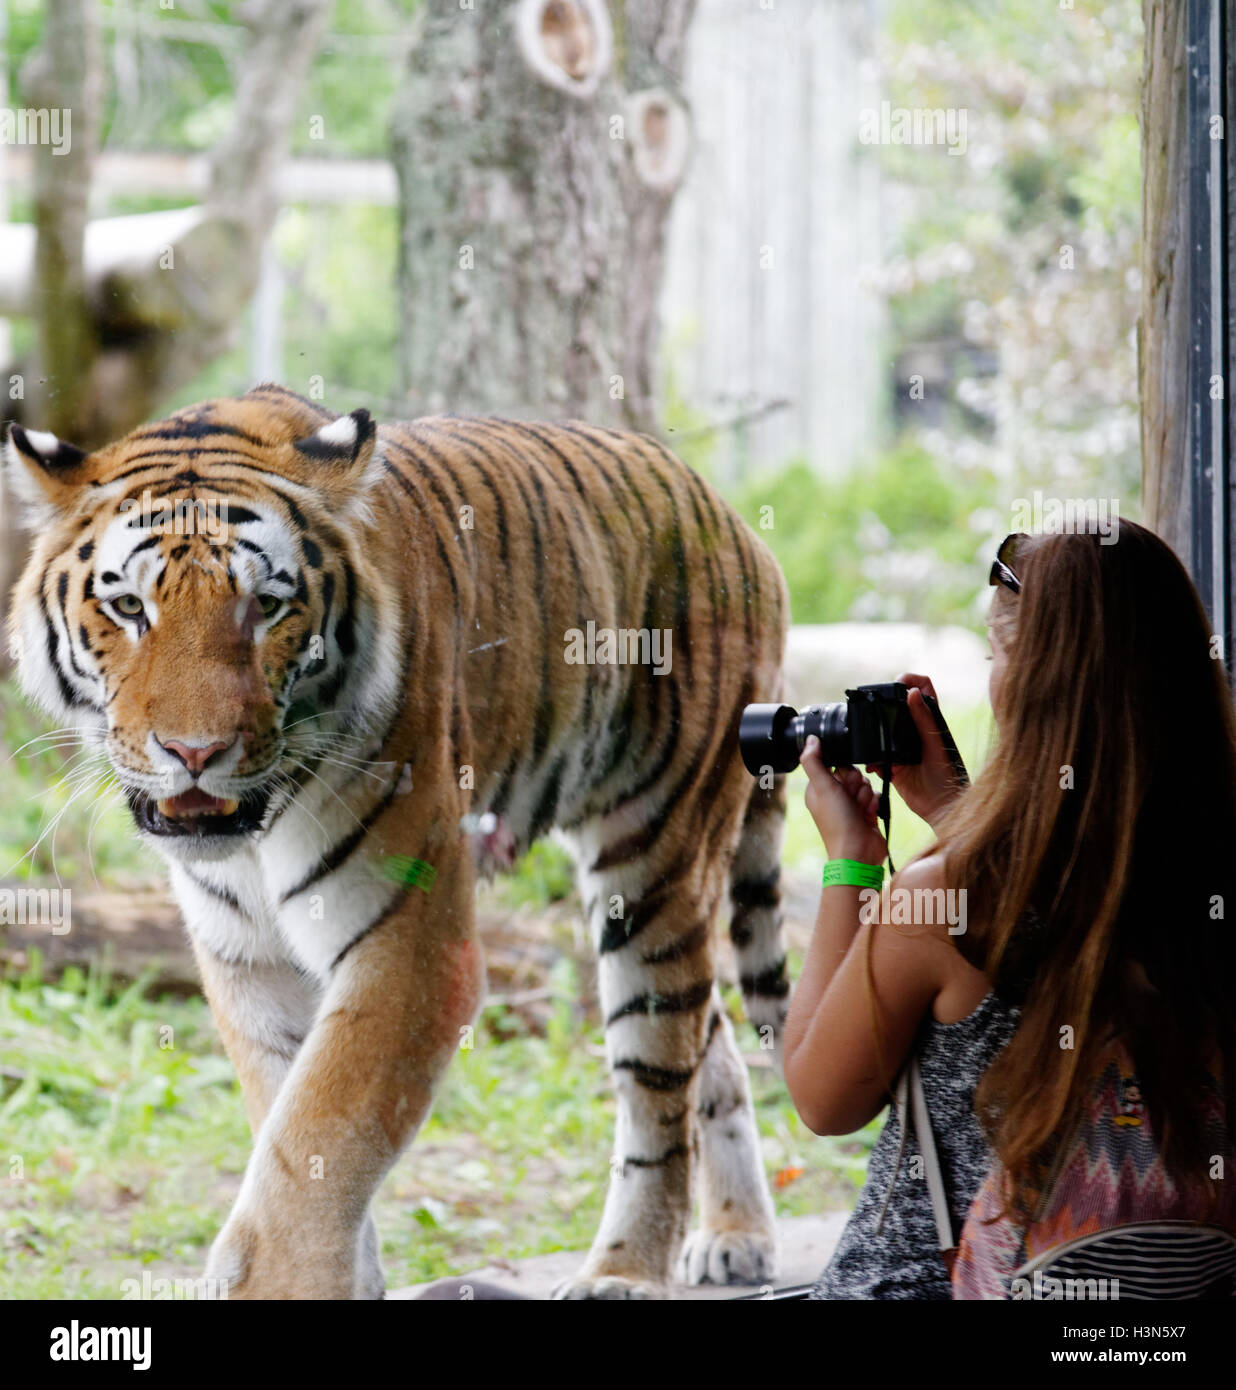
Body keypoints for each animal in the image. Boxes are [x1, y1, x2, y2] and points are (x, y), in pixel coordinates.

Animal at [4, 386, 784, 1295]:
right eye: (129, 607)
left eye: (265, 607)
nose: (195, 753)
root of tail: (729, 513)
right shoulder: (246, 958)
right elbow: (291, 1128)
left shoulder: (410, 947)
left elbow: (318, 1137)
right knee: (709, 1037)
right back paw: (735, 1234)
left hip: (656, 856)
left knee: (659, 1078)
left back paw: (625, 1270)